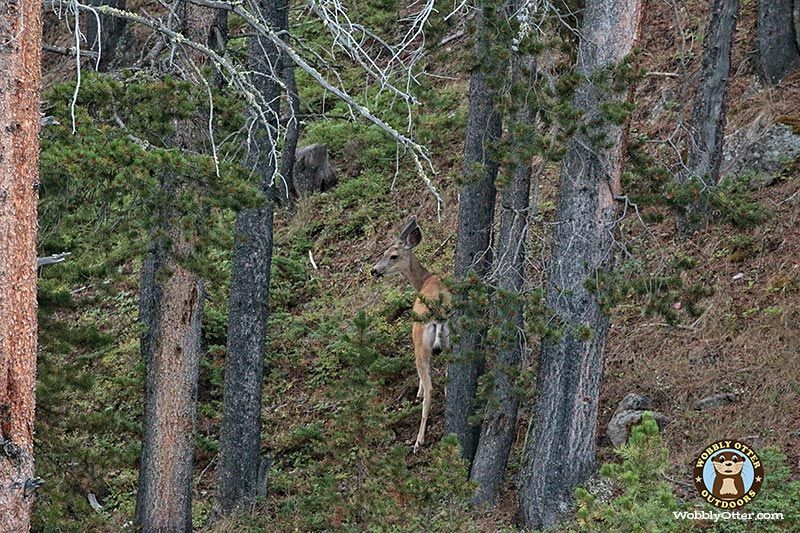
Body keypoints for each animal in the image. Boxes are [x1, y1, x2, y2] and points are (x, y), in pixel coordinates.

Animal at [370, 214, 450, 450]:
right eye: (384, 252)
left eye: (393, 255)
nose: (374, 270)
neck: (423, 280)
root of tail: (438, 314)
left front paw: (418, 391)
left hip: (420, 342)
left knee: (430, 385)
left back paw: (418, 440)